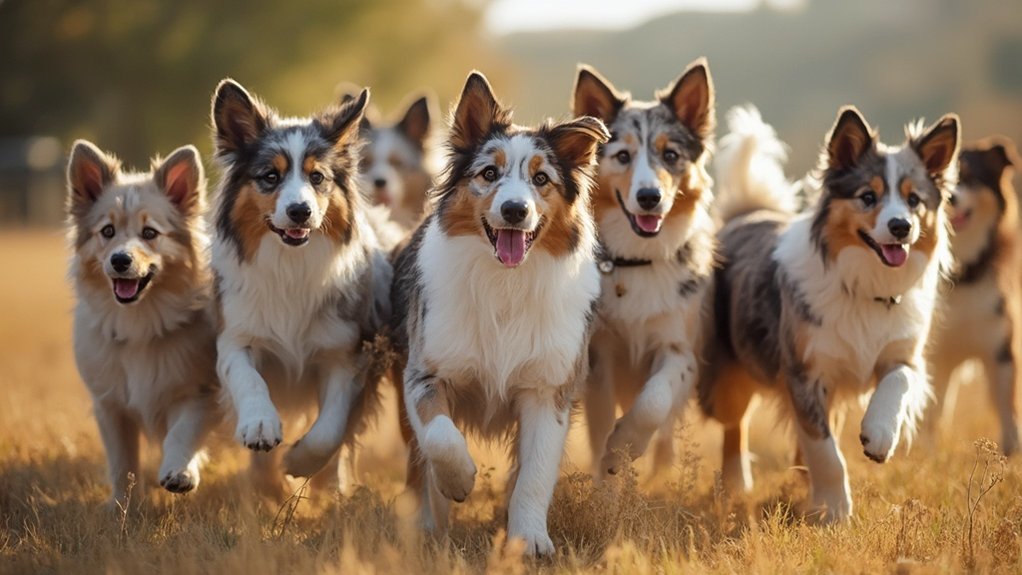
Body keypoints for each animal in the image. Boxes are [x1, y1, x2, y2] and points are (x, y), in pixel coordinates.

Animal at [68, 140, 220, 508]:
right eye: (107, 232)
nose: (120, 260)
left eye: (150, 233)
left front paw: (180, 473)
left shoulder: (199, 394)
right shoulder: (110, 407)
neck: (141, 323)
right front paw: (122, 506)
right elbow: (122, 462)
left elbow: (181, 434)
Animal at [390, 73, 605, 559]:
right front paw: (459, 482)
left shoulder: (548, 390)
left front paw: (530, 539)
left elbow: (536, 474)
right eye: (489, 173)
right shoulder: (424, 372)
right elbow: (440, 437)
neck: (505, 283)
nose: (514, 210)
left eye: (541, 179)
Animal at [576, 60, 719, 480]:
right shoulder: (599, 359)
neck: (638, 260)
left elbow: (653, 403)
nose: (649, 197)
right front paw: (605, 480)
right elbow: (600, 431)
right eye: (623, 156)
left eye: (670, 155)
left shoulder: (679, 349)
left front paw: (625, 446)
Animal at [703, 104, 956, 522]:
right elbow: (826, 450)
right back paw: (736, 487)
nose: (901, 227)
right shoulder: (805, 372)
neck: (866, 288)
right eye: (867, 196)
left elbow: (898, 382)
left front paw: (879, 435)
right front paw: (834, 511)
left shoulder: (903, 355)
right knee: (734, 427)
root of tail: (747, 213)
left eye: (914, 200)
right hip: (730, 378)